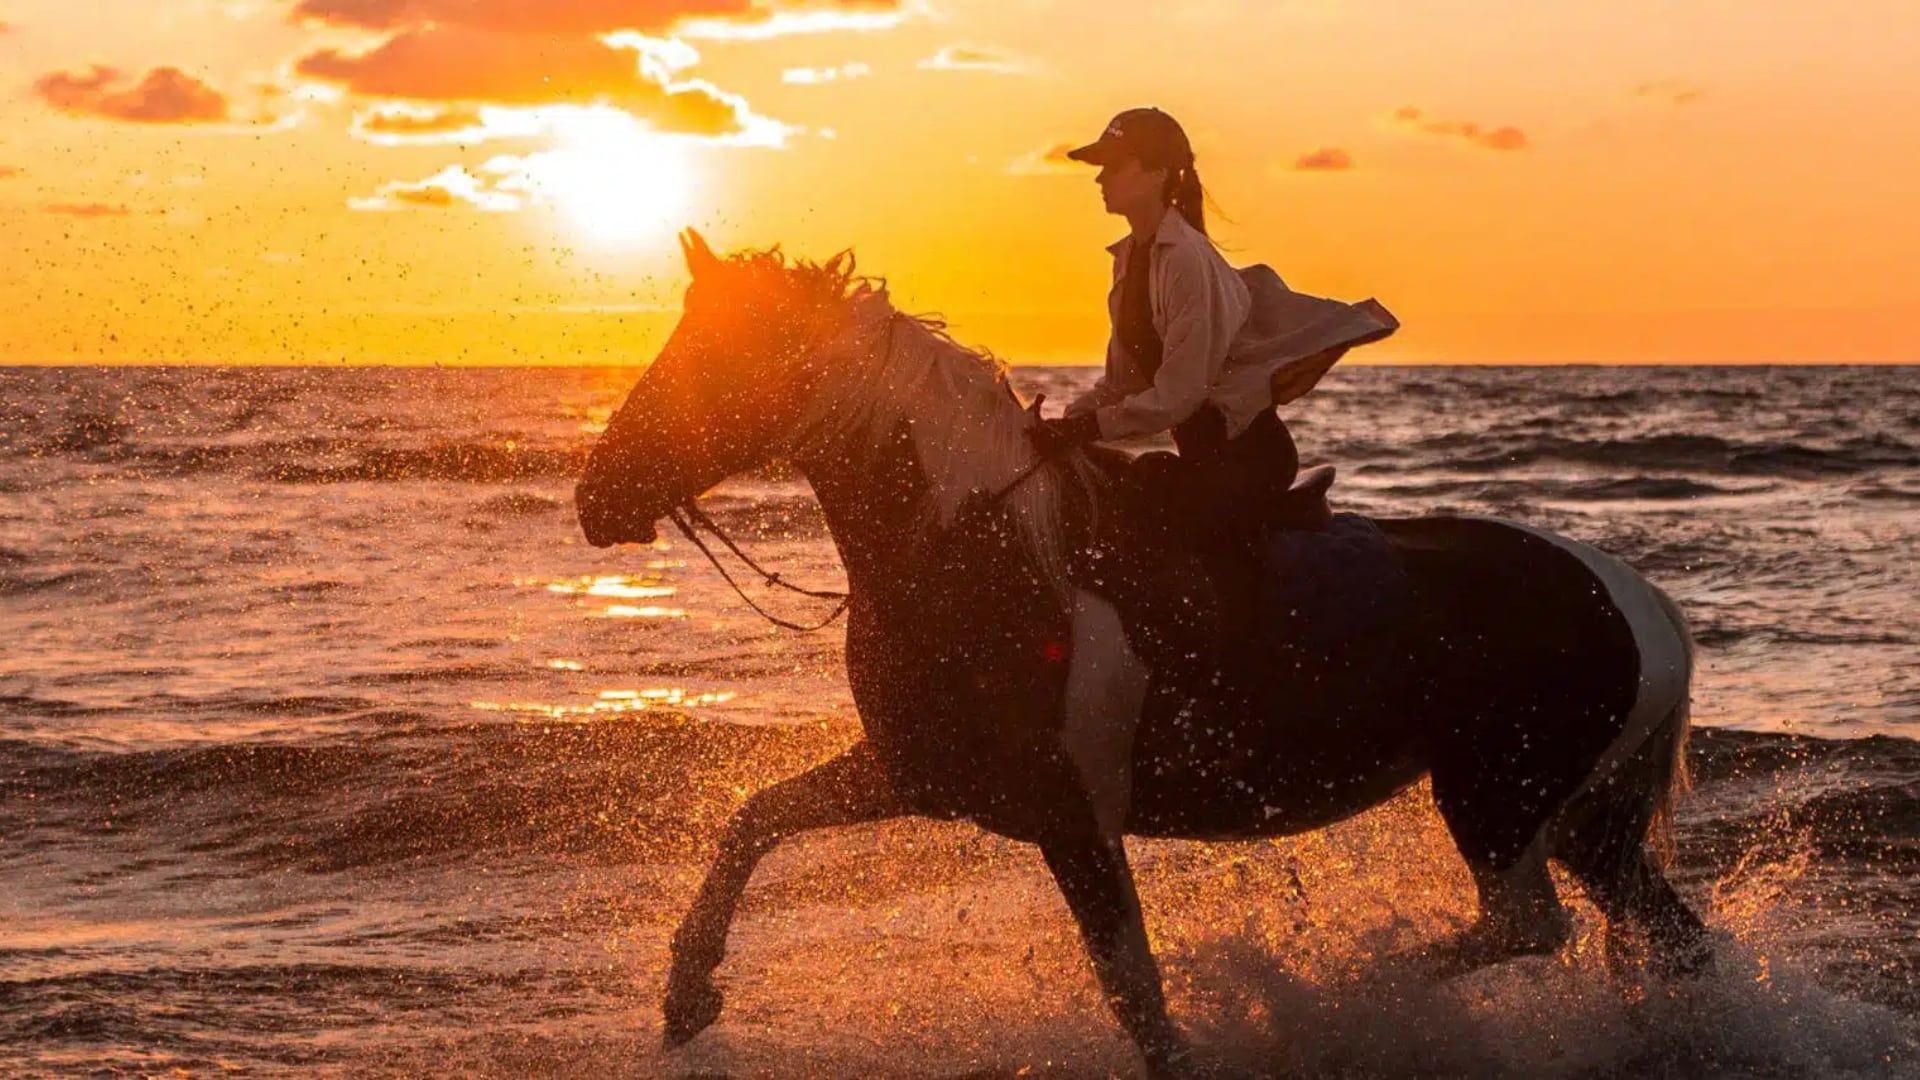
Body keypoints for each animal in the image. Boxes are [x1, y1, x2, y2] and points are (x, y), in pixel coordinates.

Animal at [568, 231, 1712, 1068]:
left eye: (715, 359)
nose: (596, 497)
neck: (978, 550)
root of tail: (1636, 597)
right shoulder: (918, 774)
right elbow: (754, 822)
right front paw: (686, 995)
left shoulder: (1072, 820)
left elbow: (1136, 992)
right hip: (1584, 816)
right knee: (1668, 937)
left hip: (1499, 801)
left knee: (1527, 926)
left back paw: (1337, 998)